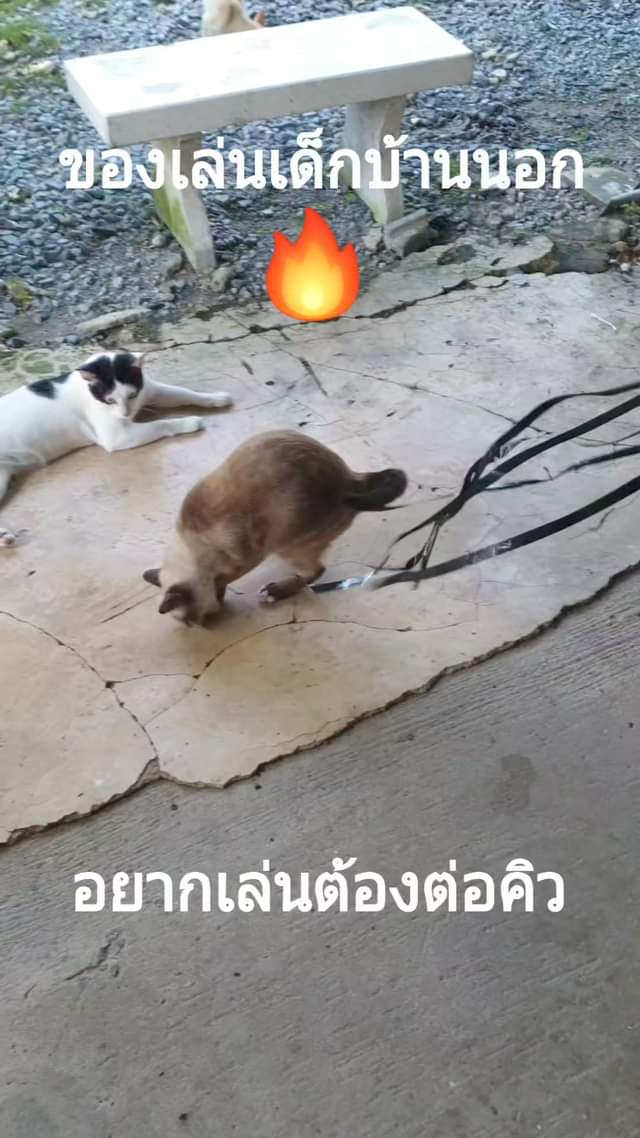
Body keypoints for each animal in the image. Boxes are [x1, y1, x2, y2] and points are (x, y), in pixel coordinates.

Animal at [0, 349, 232, 548]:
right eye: (109, 400)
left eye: (131, 396)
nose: (125, 414)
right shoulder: (118, 436)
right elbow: (162, 424)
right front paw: (189, 422)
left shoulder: (152, 390)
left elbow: (186, 393)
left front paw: (216, 397)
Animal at [143, 429, 407, 625]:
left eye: (190, 621)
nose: (201, 626)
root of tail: (348, 478)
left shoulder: (246, 556)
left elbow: (224, 579)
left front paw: (221, 593)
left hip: (286, 544)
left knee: (315, 571)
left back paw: (277, 591)